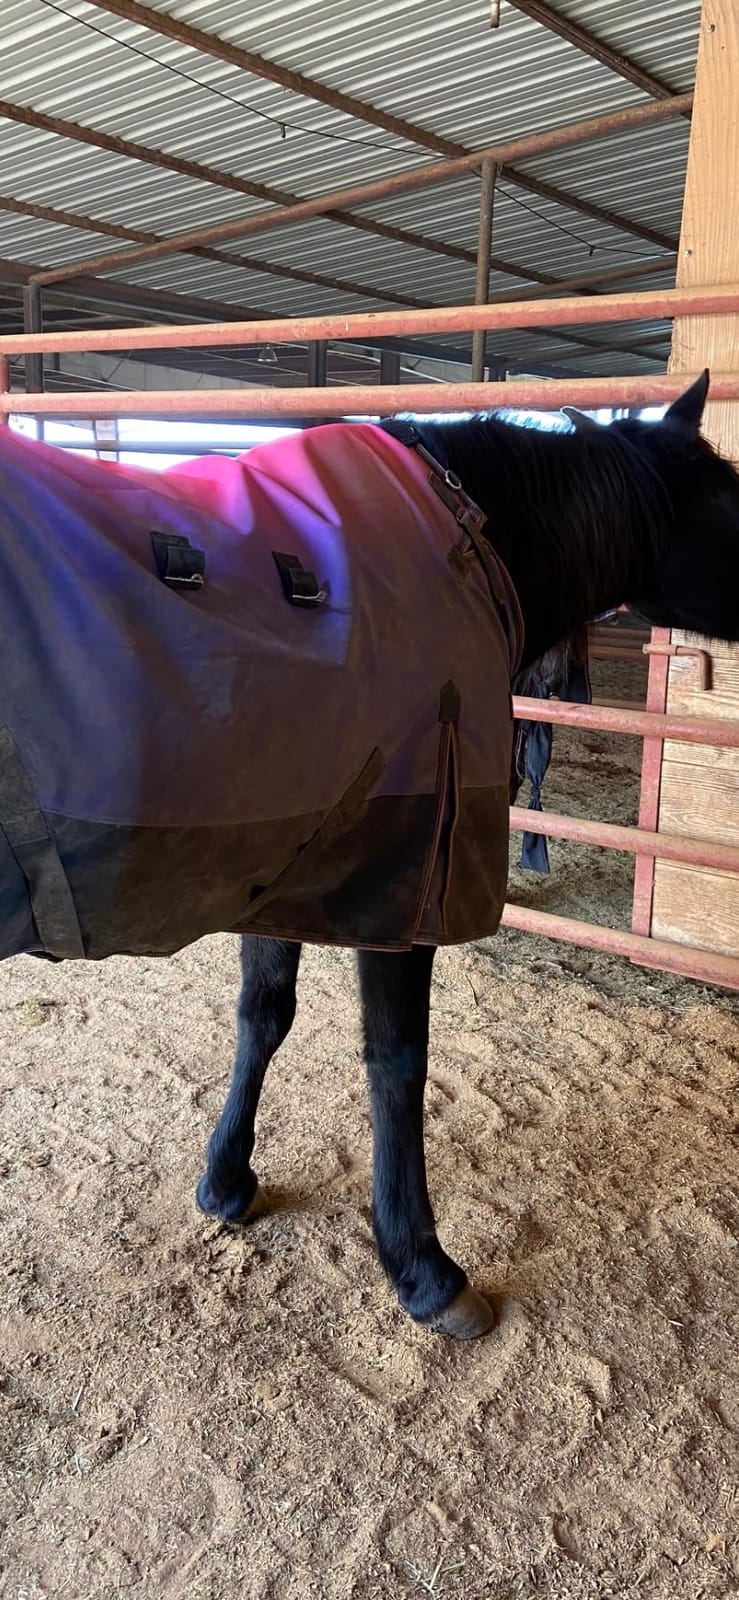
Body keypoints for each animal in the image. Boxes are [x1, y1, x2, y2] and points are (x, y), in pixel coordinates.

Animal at [2, 370, 738, 1340]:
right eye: (732, 500)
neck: (460, 536)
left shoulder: (282, 858)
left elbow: (262, 1016)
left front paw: (226, 1179)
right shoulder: (405, 881)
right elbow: (397, 1062)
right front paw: (421, 1267)